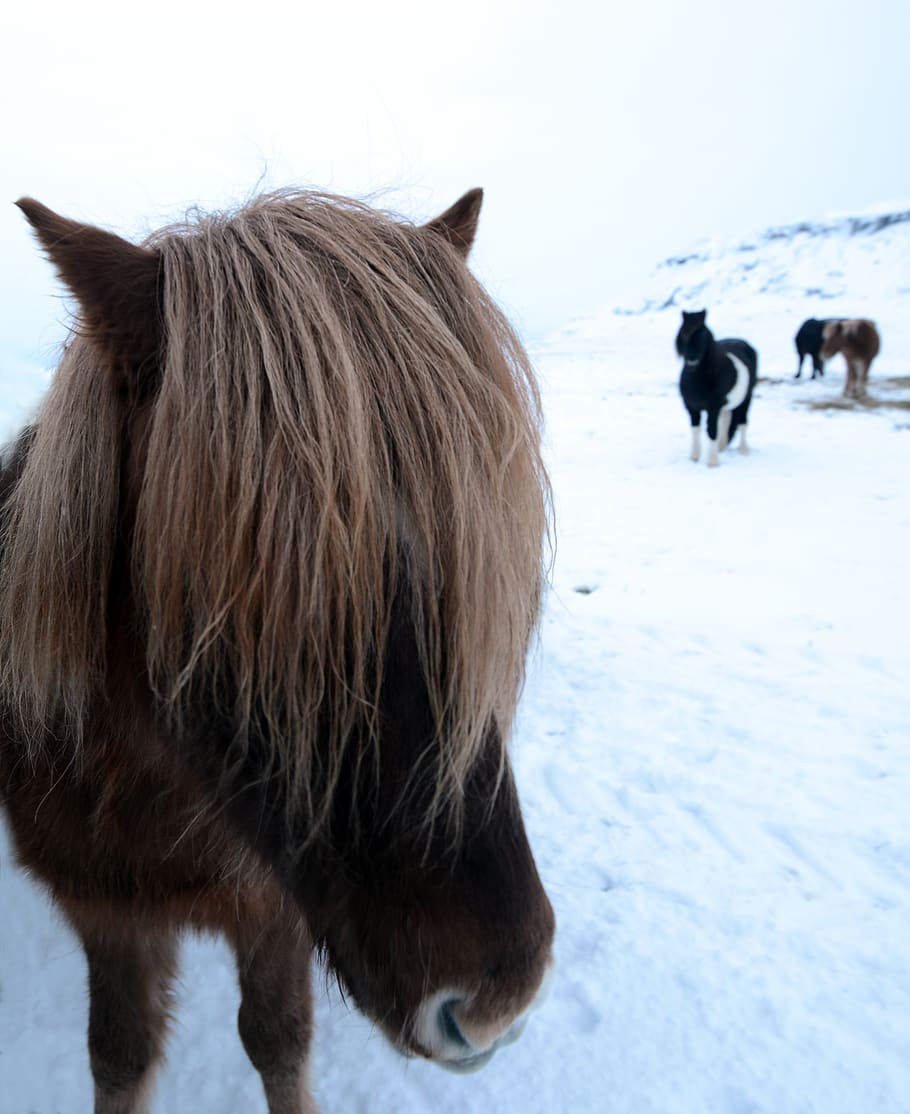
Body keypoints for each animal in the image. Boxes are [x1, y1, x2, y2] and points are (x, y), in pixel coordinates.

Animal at [676, 309, 758, 467]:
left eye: (703, 334)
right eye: (683, 332)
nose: (692, 359)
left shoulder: (713, 408)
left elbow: (711, 430)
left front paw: (713, 462)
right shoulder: (692, 407)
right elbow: (695, 429)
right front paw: (694, 457)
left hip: (747, 398)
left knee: (743, 422)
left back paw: (743, 449)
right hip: (726, 405)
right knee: (726, 419)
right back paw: (722, 446)